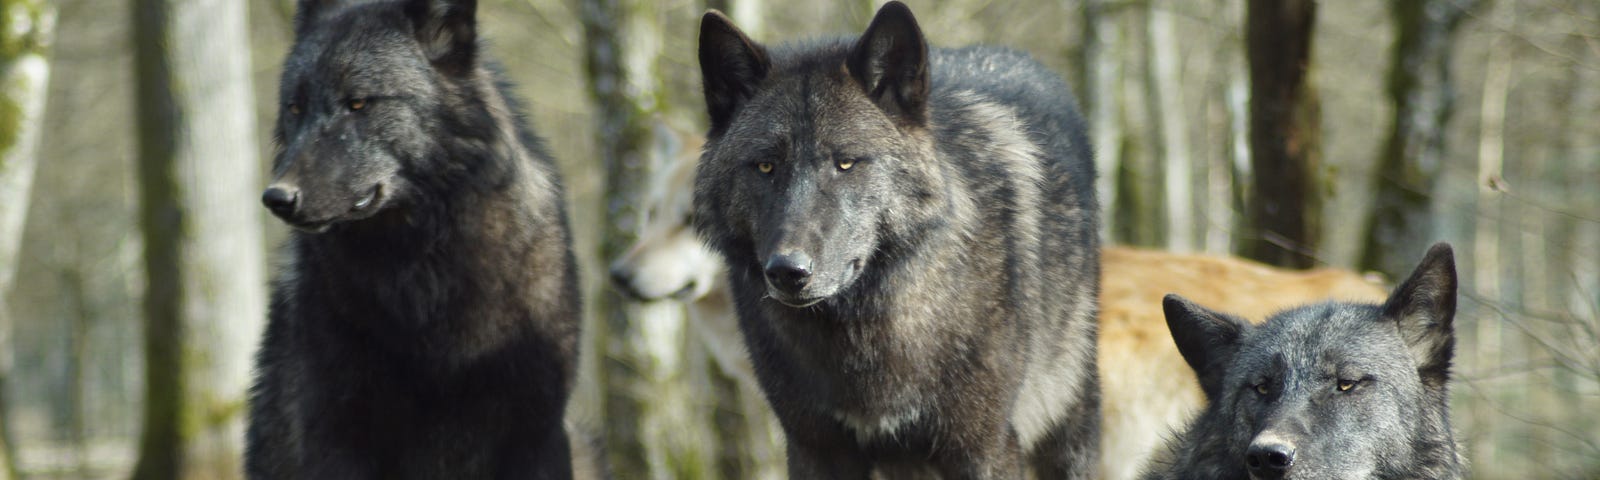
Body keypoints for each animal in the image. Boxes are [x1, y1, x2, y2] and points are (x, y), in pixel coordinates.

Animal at [694, 2, 1107, 476]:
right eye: (765, 166)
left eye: (846, 163)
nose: (787, 271)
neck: (865, 331)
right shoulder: (814, 449)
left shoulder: (984, 450)